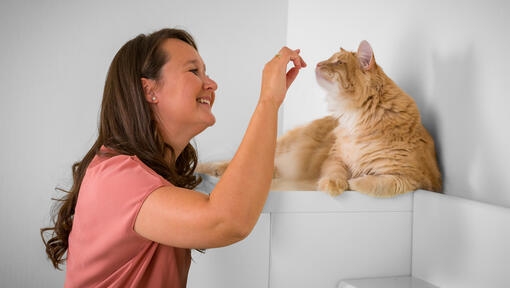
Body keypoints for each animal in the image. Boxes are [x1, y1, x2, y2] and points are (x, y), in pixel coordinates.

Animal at [199, 40, 442, 198]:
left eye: (338, 62)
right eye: (329, 59)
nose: (317, 63)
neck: (355, 117)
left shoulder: (414, 178)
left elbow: (379, 184)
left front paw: (353, 182)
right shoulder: (335, 158)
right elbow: (335, 172)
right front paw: (334, 184)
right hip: (284, 146)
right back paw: (216, 169)